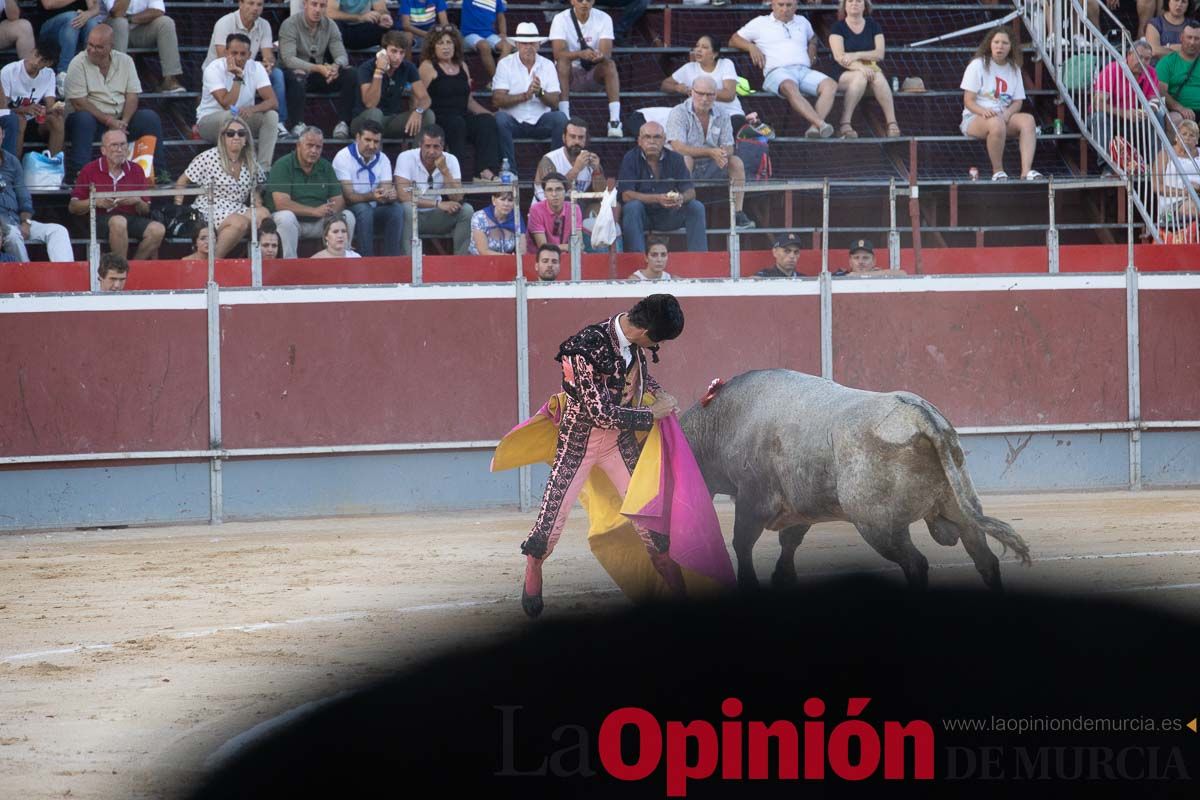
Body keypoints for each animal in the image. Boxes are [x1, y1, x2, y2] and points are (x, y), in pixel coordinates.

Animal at [681, 371, 1036, 592]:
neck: (724, 420)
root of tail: (920, 416)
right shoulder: (799, 507)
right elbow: (789, 542)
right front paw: (783, 578)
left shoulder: (753, 500)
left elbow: (742, 543)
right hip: (960, 507)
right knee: (985, 559)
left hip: (878, 526)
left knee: (916, 564)